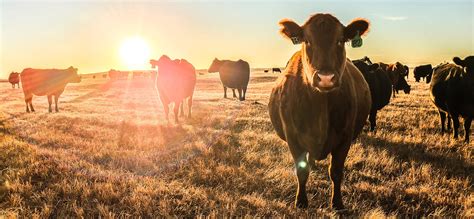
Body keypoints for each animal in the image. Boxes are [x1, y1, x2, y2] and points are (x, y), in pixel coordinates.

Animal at [268, 12, 372, 210]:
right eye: (307, 40)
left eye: (340, 40)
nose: (325, 78)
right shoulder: (293, 137)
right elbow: (301, 171)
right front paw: (301, 201)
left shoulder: (345, 137)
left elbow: (336, 172)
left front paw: (337, 202)